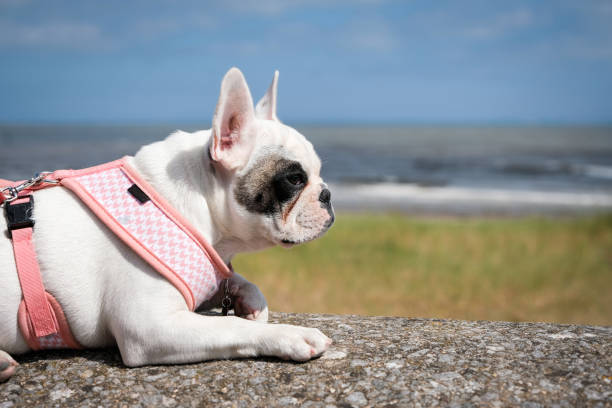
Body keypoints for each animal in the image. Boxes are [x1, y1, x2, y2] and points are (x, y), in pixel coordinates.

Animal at [0, 67, 334, 380]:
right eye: (294, 179)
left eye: (318, 172)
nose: (328, 194)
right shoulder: (148, 327)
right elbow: (233, 326)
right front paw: (289, 334)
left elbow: (245, 285)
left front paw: (249, 302)